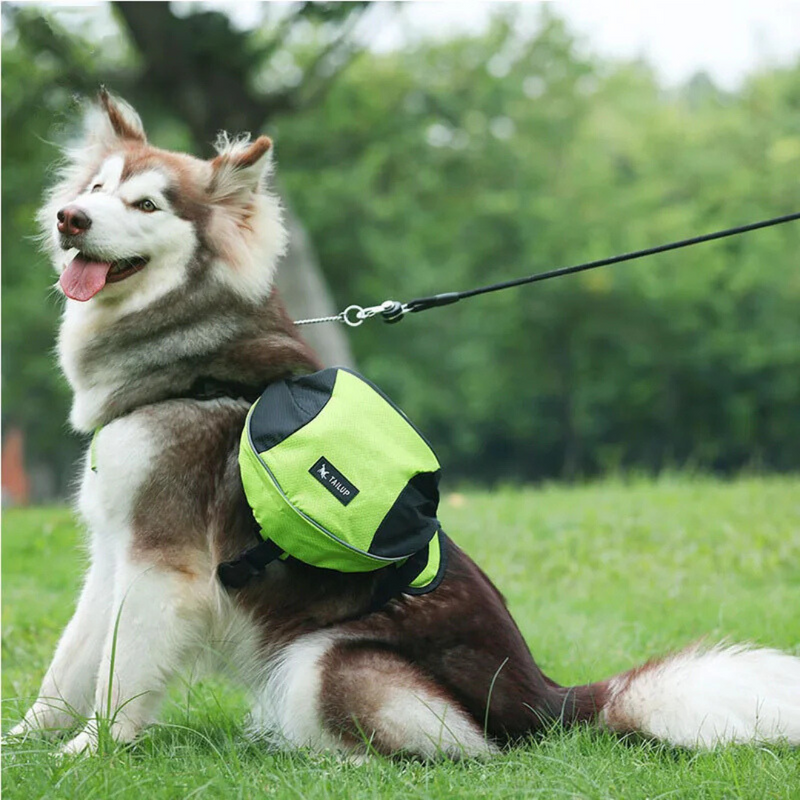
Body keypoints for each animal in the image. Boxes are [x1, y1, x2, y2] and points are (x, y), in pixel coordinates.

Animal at [7, 92, 800, 756]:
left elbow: (119, 674)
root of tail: (553, 702)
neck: (192, 359)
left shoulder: (162, 563)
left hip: (320, 657)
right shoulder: (114, 551)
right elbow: (69, 661)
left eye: (145, 204)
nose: (70, 218)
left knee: (455, 751)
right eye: (96, 190)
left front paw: (93, 751)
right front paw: (28, 741)